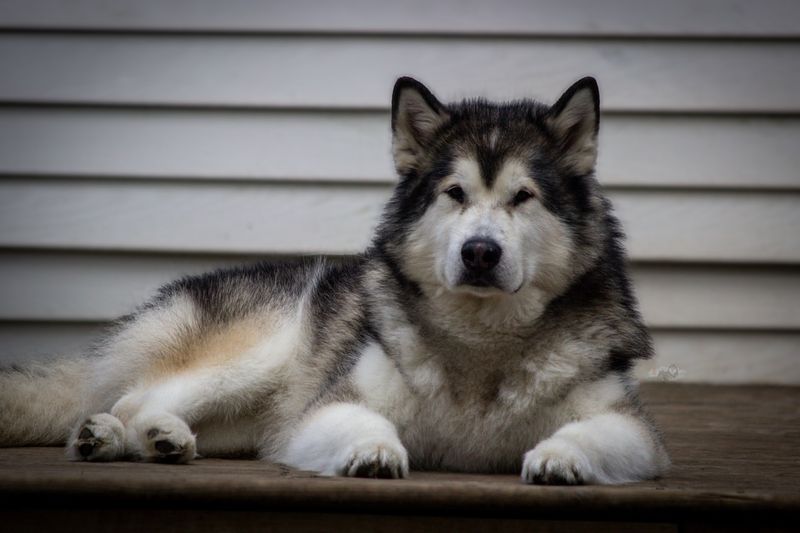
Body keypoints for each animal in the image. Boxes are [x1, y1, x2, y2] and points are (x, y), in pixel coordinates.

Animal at [0, 77, 668, 484]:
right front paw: (374, 450)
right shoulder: (324, 409)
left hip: (247, 416)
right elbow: (362, 420)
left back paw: (157, 439)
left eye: (523, 197)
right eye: (455, 194)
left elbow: (599, 433)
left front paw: (560, 455)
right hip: (254, 354)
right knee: (130, 397)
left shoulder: (634, 429)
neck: (481, 342)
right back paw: (114, 433)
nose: (479, 252)